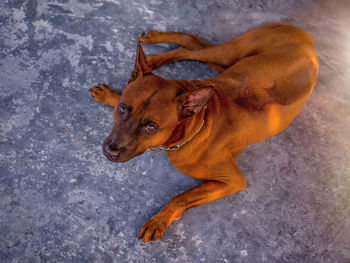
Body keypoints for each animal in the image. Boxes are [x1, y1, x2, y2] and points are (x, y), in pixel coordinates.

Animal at [89, 23, 318, 242]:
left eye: (150, 127)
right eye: (122, 109)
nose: (111, 150)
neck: (194, 124)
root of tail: (309, 41)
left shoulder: (232, 180)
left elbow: (180, 198)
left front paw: (159, 221)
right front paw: (111, 96)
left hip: (227, 58)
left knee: (193, 48)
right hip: (228, 57)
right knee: (192, 46)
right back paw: (154, 49)